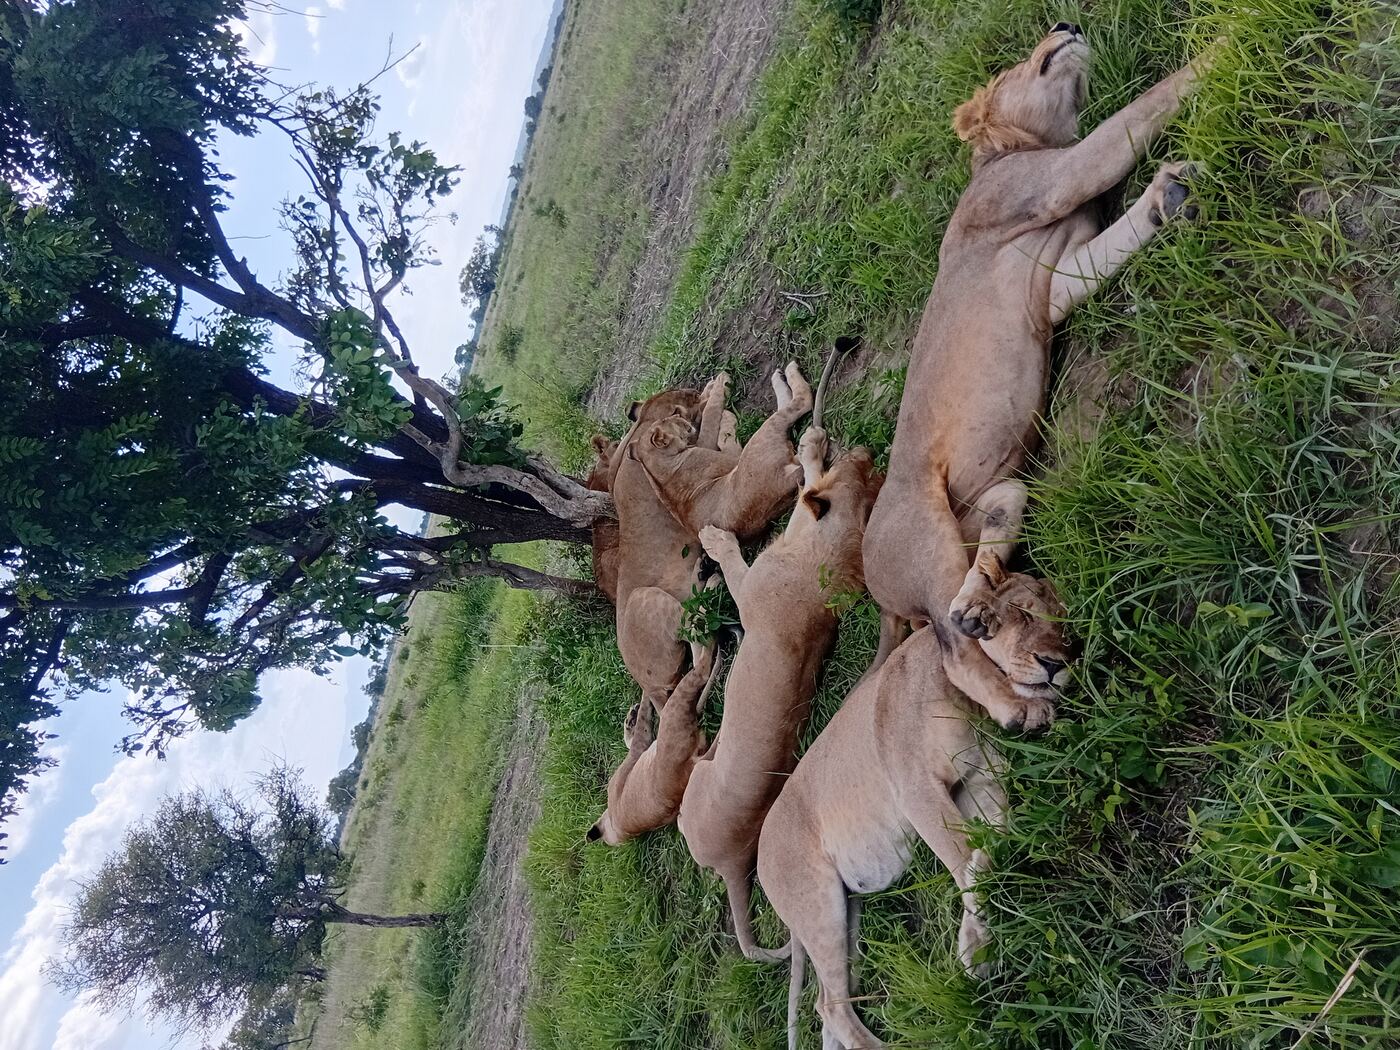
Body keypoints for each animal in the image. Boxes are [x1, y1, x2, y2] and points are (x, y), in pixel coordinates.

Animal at [677, 426, 883, 962]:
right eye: (866, 471)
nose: (865, 450)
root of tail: (732, 863)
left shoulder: (751, 588)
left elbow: (732, 562)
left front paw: (716, 539)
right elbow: (805, 479)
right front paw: (812, 445)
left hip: (693, 794)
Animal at [757, 578, 1070, 1049]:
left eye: (1064, 621)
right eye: (1022, 611)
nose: (1056, 663)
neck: (967, 698)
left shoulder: (981, 780)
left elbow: (991, 843)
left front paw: (974, 935)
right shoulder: (916, 790)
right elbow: (962, 854)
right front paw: (977, 948)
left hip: (847, 912)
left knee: (831, 1008)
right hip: (817, 904)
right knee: (829, 1006)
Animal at [862, 23, 1212, 731]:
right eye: (1011, 68)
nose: (1065, 27)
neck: (1012, 152)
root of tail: (871, 585)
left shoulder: (1053, 287)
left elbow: (1112, 244)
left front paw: (1168, 199)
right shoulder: (1053, 181)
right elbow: (1148, 105)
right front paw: (1220, 48)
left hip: (993, 498)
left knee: (984, 560)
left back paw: (983, 601)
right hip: (924, 534)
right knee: (949, 647)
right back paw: (1017, 699)